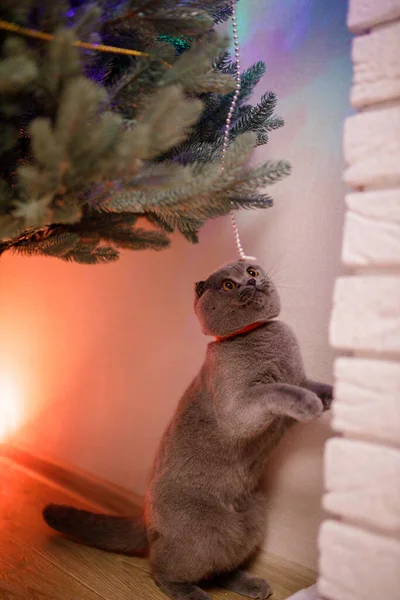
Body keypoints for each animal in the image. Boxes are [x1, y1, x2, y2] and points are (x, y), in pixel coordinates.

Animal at [42, 262, 332, 600]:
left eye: (251, 270)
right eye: (229, 285)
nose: (251, 281)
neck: (262, 335)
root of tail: (145, 517)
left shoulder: (299, 380)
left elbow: (312, 385)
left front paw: (336, 395)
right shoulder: (239, 408)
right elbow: (275, 389)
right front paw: (309, 404)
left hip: (253, 518)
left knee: (222, 565)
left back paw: (251, 584)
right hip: (201, 533)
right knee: (163, 568)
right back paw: (194, 594)